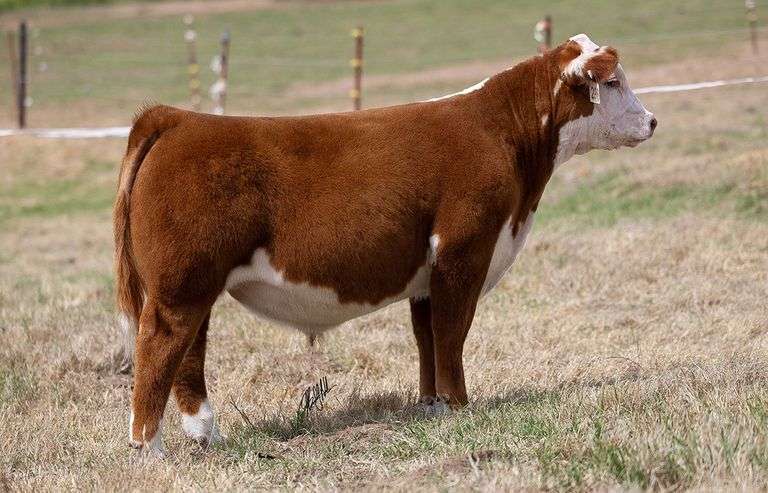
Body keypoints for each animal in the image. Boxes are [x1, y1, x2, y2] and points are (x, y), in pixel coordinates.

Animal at [114, 34, 656, 456]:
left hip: (193, 285)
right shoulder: (464, 250)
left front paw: (433, 406)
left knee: (189, 352)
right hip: (180, 287)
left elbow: (427, 336)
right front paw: (461, 407)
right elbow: (452, 332)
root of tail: (180, 118)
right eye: (612, 82)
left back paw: (206, 436)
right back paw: (150, 448)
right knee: (159, 346)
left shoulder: (428, 273)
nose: (652, 121)